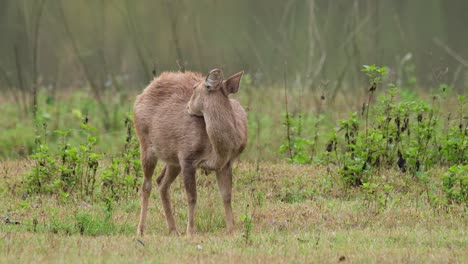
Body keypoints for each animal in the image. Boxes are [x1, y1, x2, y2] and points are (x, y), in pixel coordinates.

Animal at [133, 69, 247, 236]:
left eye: (195, 88)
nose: (187, 106)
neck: (216, 151)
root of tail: (141, 94)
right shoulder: (187, 157)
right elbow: (192, 197)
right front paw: (190, 231)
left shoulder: (225, 164)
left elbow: (226, 195)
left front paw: (232, 230)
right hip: (146, 144)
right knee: (146, 185)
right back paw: (141, 230)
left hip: (173, 159)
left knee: (162, 182)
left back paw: (173, 229)